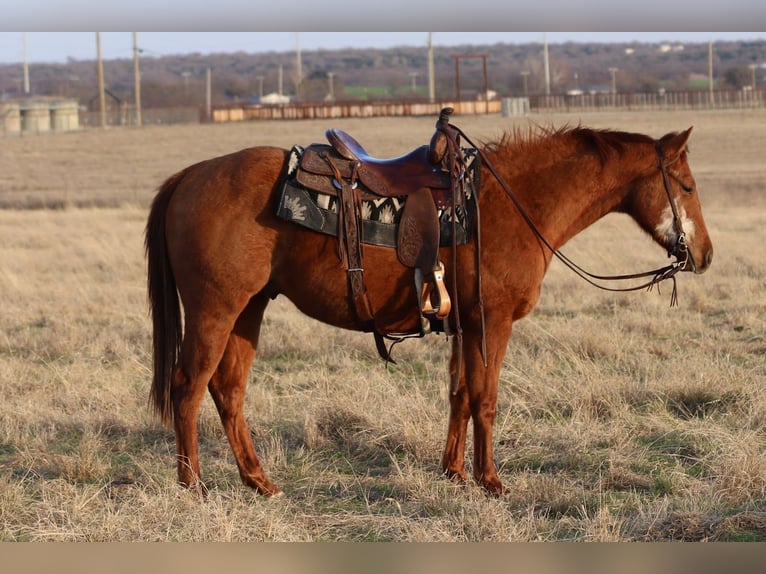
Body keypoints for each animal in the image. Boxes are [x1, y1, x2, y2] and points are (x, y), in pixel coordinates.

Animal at [145, 121, 713, 496]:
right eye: (686, 185)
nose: (704, 255)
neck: (509, 203)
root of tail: (188, 177)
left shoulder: (464, 325)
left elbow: (460, 395)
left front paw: (454, 472)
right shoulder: (491, 323)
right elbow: (486, 398)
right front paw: (490, 481)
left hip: (248, 310)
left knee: (227, 390)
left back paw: (259, 480)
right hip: (214, 310)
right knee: (189, 387)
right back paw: (193, 486)